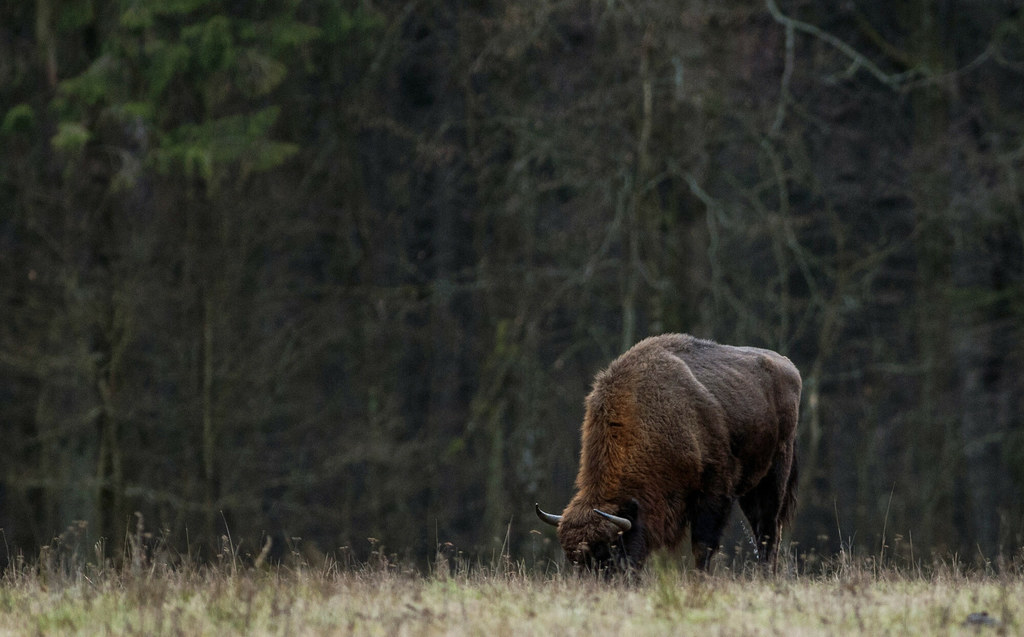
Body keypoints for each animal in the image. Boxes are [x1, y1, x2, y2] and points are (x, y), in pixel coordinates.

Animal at [536, 337, 798, 577]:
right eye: (574, 560)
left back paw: (766, 576)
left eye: (609, 549)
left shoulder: (714, 492)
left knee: (767, 531)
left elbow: (703, 546)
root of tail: (787, 365)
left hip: (773, 478)